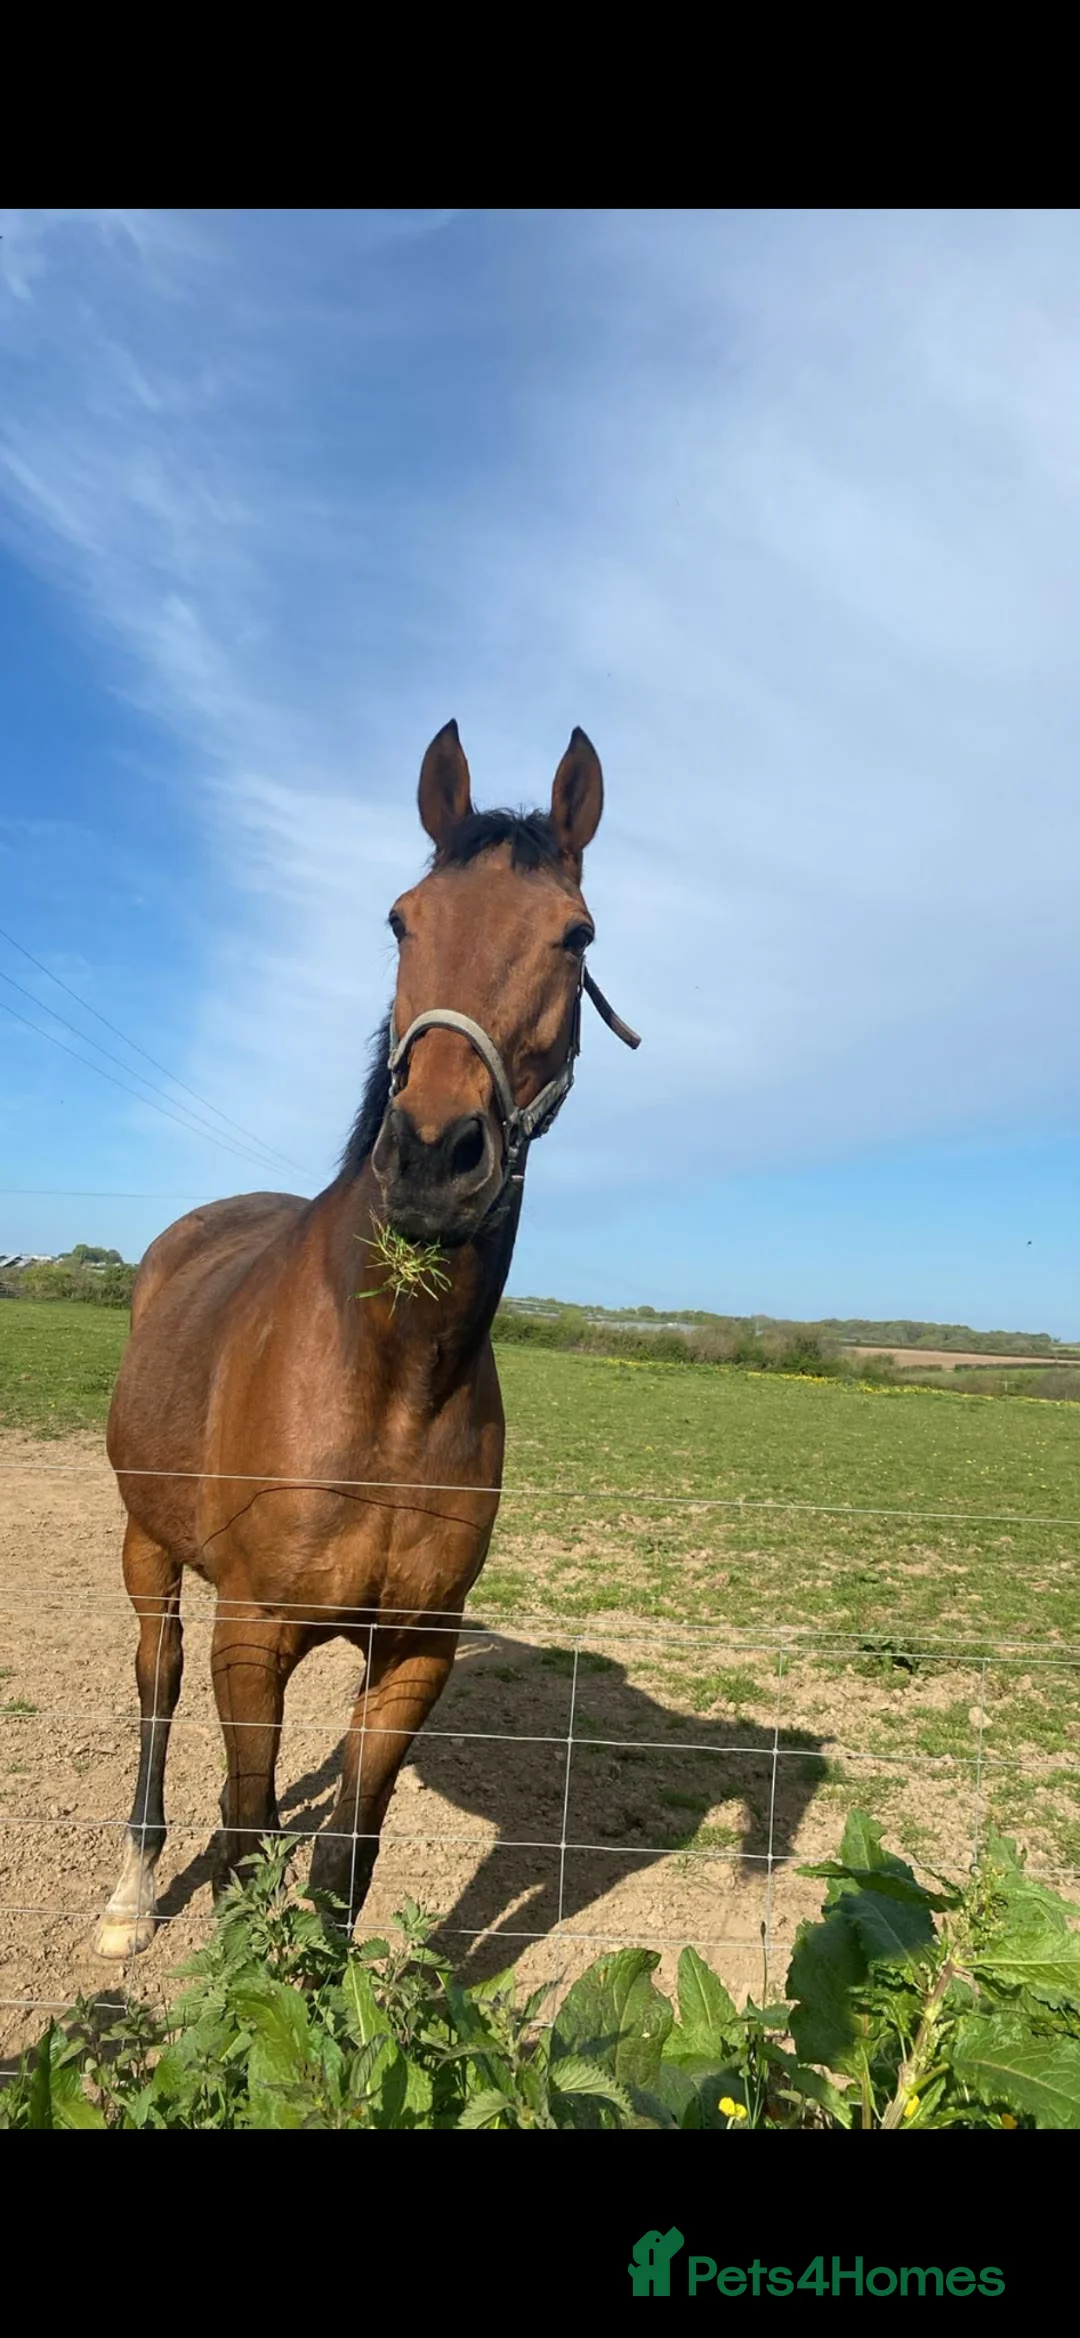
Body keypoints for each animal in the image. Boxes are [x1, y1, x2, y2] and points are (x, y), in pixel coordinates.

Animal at [95, 721, 639, 1958]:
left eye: (574, 934)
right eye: (402, 919)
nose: (435, 1154)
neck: (387, 1385)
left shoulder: (414, 1650)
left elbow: (345, 1858)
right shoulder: (254, 1634)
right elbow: (247, 1833)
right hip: (150, 1547)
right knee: (157, 1682)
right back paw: (132, 1887)